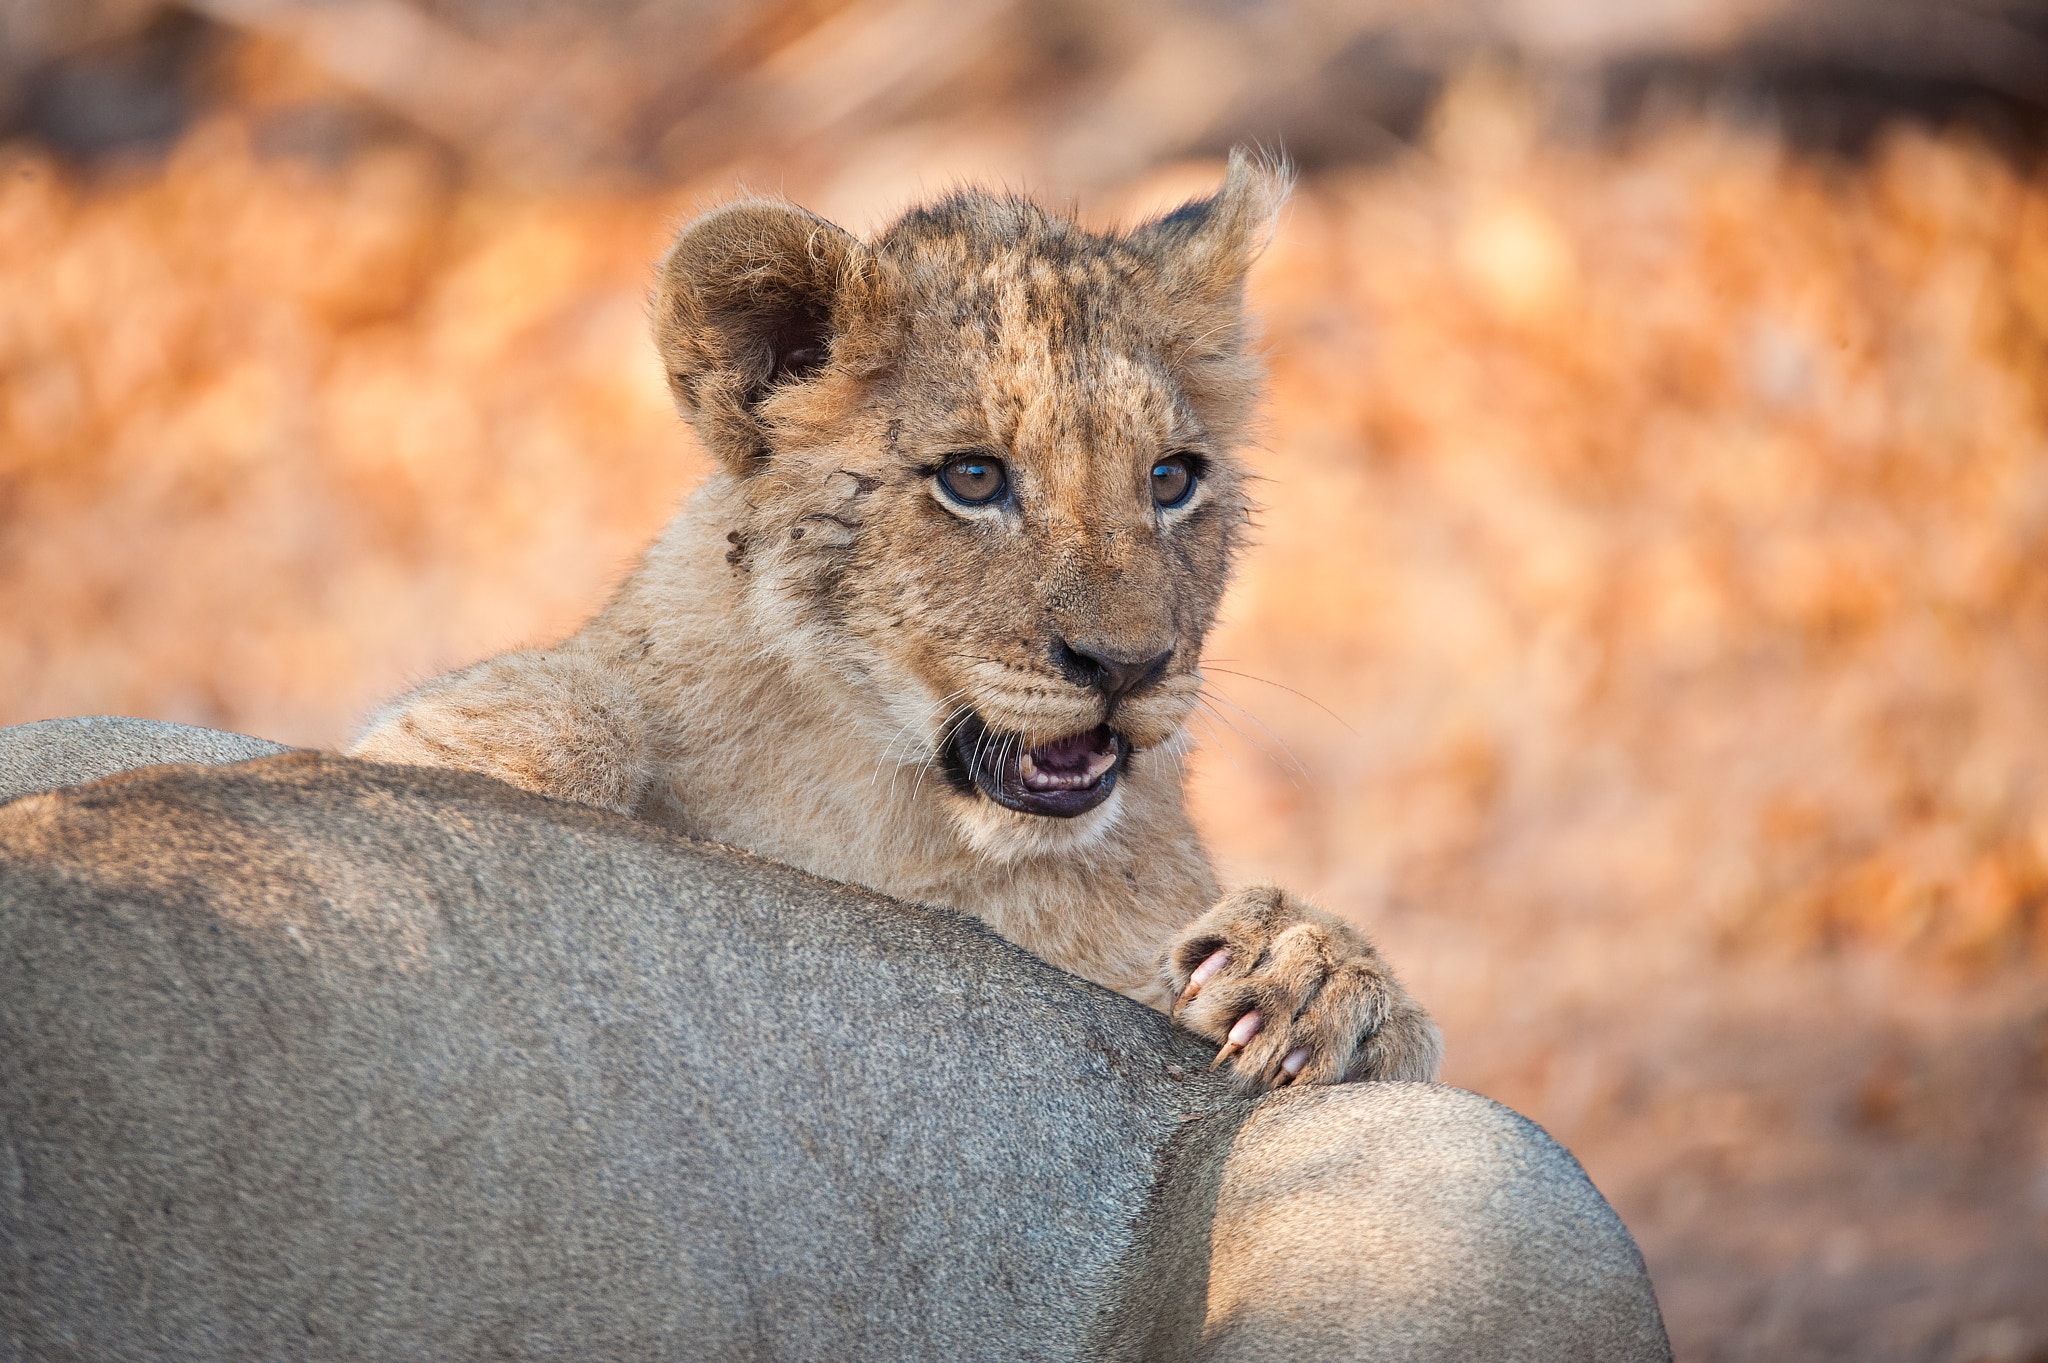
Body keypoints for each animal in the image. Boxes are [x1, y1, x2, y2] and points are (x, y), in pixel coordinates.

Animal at [348, 152, 1440, 1091]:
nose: (1128, 665)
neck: (898, 823)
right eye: (973, 478)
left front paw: (1311, 975)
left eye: (1171, 479)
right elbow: (531, 714)